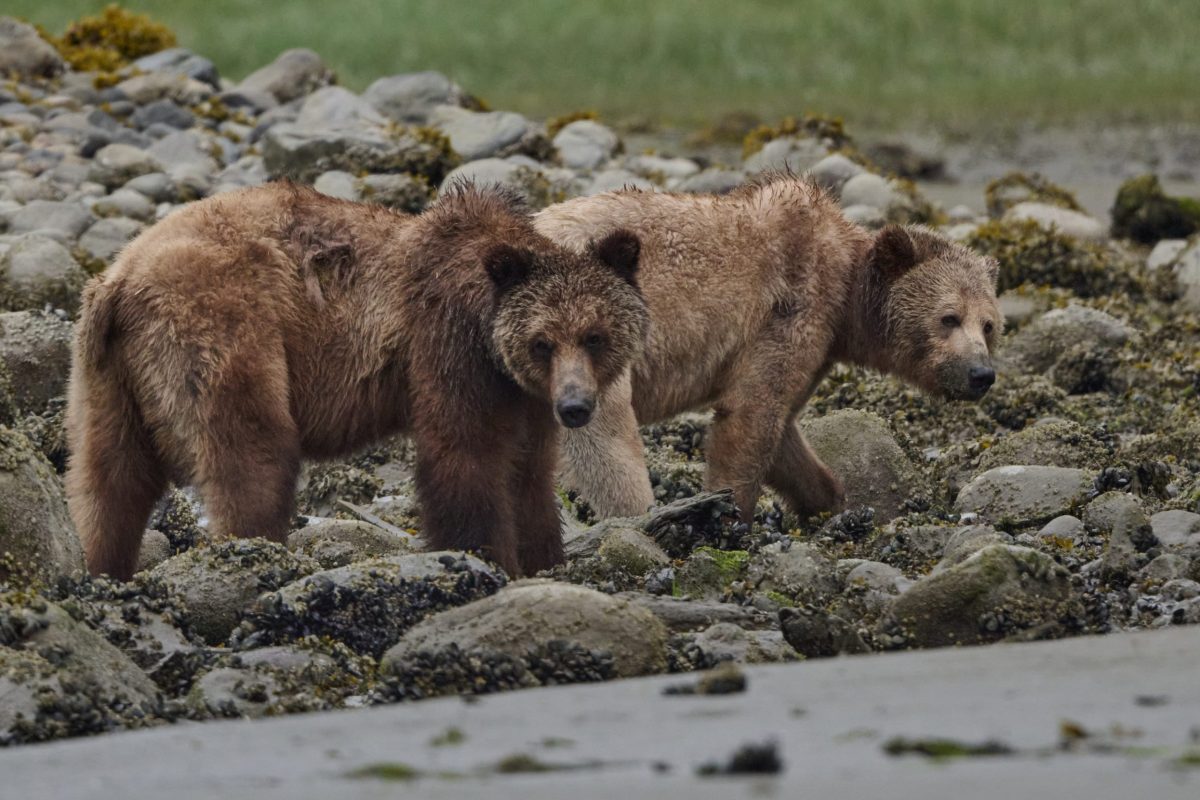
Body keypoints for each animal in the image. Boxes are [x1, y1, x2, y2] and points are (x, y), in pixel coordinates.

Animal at [65, 181, 648, 581]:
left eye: (595, 336)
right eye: (542, 341)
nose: (575, 406)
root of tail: (121, 277)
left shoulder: (524, 395)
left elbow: (529, 473)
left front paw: (545, 560)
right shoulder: (448, 343)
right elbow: (465, 456)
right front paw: (485, 558)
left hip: (109, 373)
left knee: (110, 478)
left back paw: (100, 565)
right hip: (223, 325)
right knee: (252, 454)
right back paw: (254, 553)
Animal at [534, 174, 1002, 520]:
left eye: (990, 325)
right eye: (949, 318)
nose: (981, 374)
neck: (847, 297)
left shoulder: (813, 344)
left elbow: (784, 433)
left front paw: (831, 502)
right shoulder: (791, 308)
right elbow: (750, 417)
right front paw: (729, 514)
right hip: (583, 338)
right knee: (605, 433)